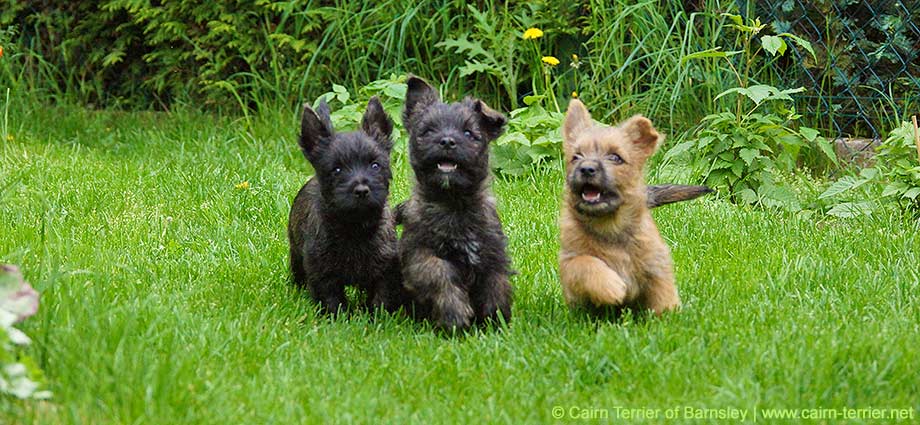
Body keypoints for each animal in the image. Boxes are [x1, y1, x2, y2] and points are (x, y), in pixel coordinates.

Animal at [286, 97, 404, 314]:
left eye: (375, 165)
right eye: (337, 169)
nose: (362, 190)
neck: (355, 228)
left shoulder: (386, 269)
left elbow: (381, 298)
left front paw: (376, 316)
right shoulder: (322, 272)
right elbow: (332, 300)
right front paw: (338, 317)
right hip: (296, 253)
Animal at [398, 74, 512, 330]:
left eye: (469, 133)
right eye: (428, 131)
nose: (447, 141)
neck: (453, 203)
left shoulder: (493, 254)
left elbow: (497, 284)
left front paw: (496, 321)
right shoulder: (419, 255)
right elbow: (440, 273)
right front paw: (455, 314)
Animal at [556, 101, 680, 314]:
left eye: (615, 157)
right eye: (576, 156)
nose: (586, 168)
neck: (609, 226)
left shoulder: (656, 264)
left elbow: (663, 294)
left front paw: (669, 315)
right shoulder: (569, 261)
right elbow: (585, 263)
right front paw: (610, 286)